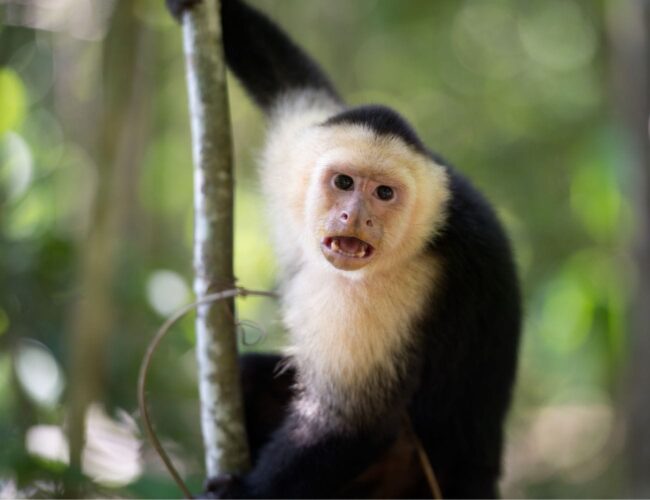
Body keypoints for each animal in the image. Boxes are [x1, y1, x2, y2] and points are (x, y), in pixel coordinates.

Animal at [166, 0, 521, 498]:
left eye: (385, 194)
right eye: (344, 183)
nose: (355, 216)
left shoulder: (406, 280)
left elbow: (352, 421)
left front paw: (241, 495)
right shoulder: (300, 148)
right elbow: (294, 81)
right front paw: (205, 8)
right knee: (251, 373)